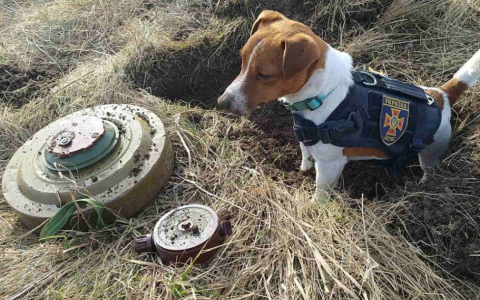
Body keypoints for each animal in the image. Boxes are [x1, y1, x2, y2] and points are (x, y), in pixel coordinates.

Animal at [218, 10, 480, 196]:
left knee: (429, 169)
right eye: (242, 61)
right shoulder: (305, 138)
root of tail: (441, 95)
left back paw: (423, 186)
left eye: (264, 75)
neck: (321, 95)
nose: (222, 102)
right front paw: (303, 167)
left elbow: (320, 192)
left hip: (431, 151)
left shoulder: (330, 166)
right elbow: (305, 152)